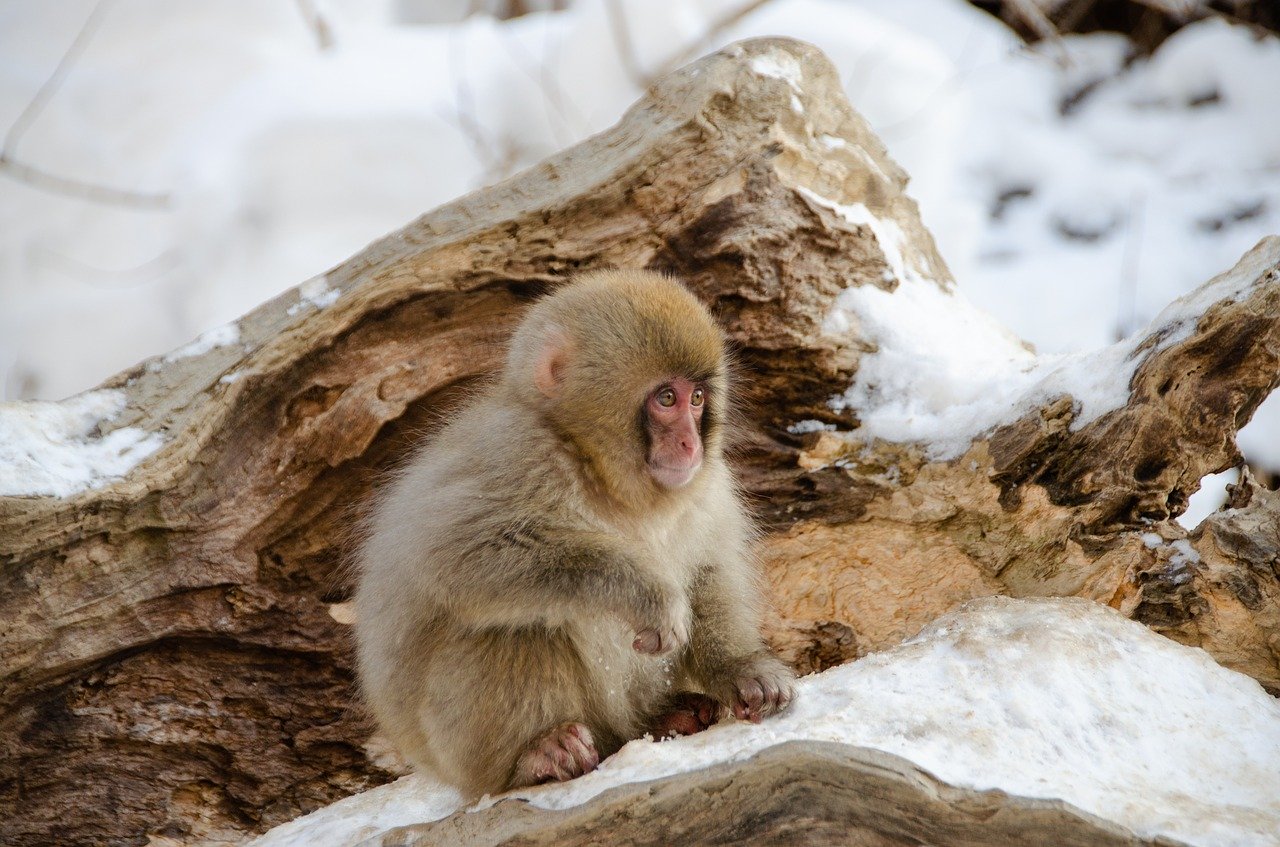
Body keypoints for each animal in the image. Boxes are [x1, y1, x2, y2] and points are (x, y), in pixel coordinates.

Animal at [350, 269, 788, 798]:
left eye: (698, 399)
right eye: (667, 399)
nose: (690, 443)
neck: (603, 476)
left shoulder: (708, 488)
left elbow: (708, 571)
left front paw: (742, 669)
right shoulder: (517, 452)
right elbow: (456, 555)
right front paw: (646, 595)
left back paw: (666, 717)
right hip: (458, 752)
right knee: (512, 627)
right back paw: (537, 755)